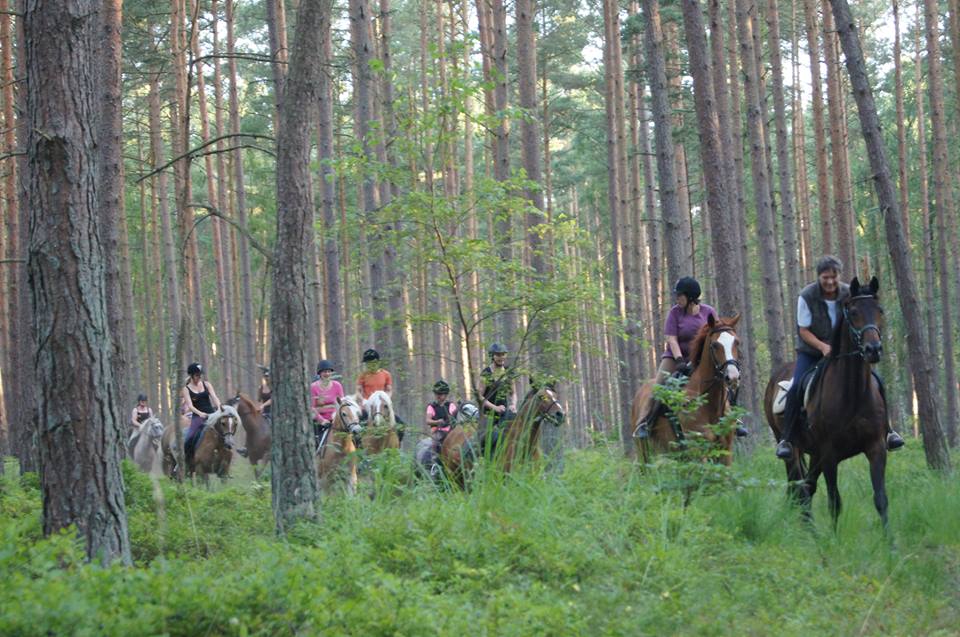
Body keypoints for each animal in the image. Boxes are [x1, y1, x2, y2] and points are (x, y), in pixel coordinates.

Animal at [632, 314, 744, 468]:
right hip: (644, 453)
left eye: (737, 342)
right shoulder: (698, 450)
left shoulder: (726, 450)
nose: (733, 377)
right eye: (715, 345)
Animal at [764, 274, 892, 528]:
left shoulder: (876, 448)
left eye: (880, 310)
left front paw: (889, 539)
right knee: (799, 488)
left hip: (813, 454)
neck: (853, 395)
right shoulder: (829, 454)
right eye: (853, 312)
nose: (873, 349)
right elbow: (835, 503)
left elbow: (881, 499)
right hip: (793, 449)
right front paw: (834, 537)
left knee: (807, 487)